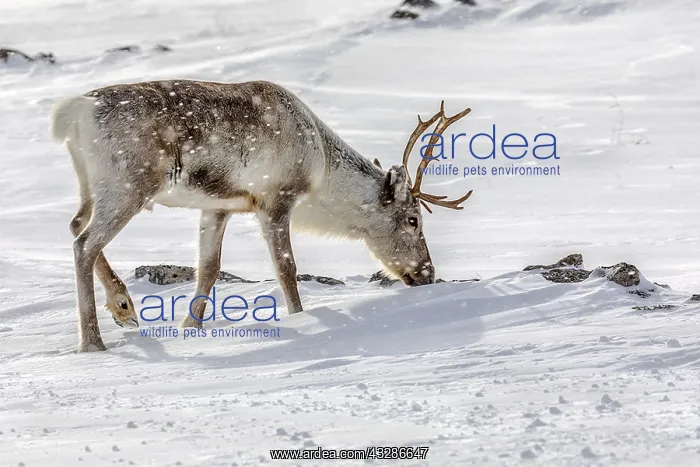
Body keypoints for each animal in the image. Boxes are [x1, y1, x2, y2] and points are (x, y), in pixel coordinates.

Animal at [50, 79, 473, 352]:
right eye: (413, 220)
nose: (428, 274)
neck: (321, 169)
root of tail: (73, 113)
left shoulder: (217, 206)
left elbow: (208, 268)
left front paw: (191, 327)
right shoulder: (276, 201)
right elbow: (286, 268)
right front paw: (299, 318)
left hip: (91, 185)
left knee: (74, 224)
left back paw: (123, 307)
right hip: (128, 186)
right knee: (83, 243)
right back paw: (92, 341)